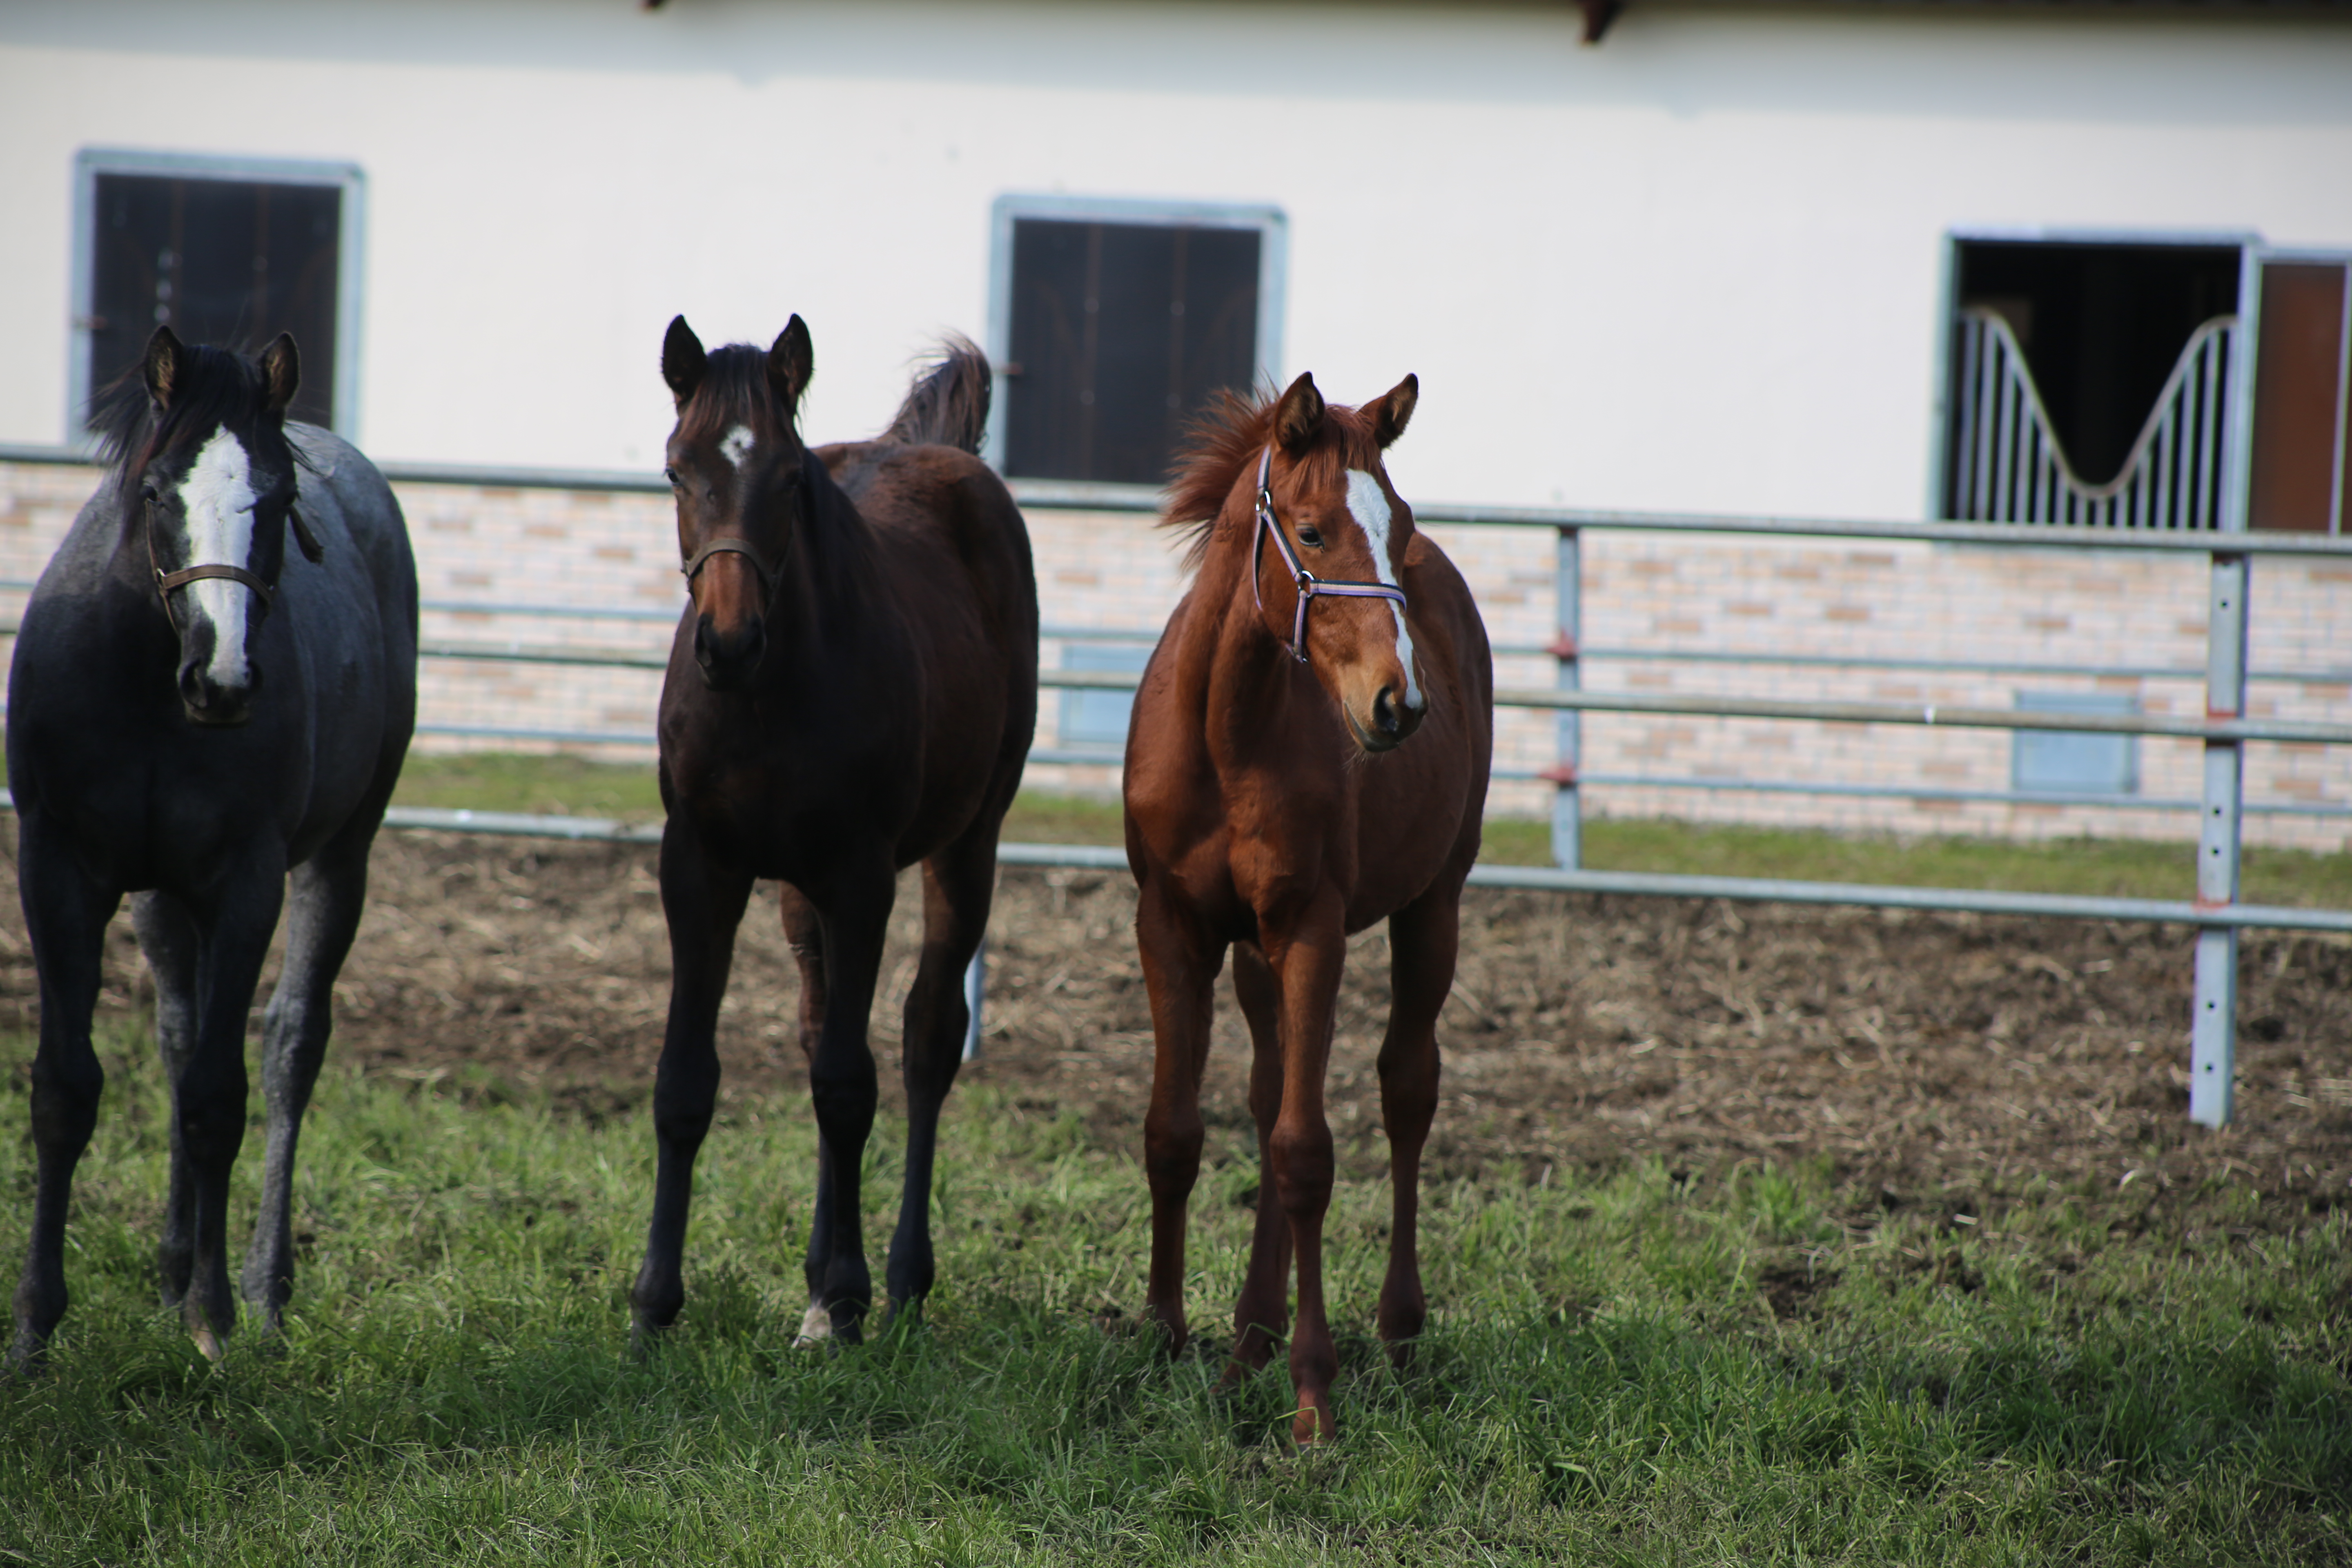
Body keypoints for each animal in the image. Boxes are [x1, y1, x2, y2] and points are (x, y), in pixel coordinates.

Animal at [7, 324, 419, 1363]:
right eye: (158, 492)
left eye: (277, 497)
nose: (223, 679)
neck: (149, 684)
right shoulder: (58, 869)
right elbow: (67, 1089)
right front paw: (32, 1328)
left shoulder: (246, 884)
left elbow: (216, 1099)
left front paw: (215, 1316)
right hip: (162, 896)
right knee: (179, 1031)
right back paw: (166, 1269)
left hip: (339, 858)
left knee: (290, 1047)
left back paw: (263, 1288)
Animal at [630, 315, 1035, 1354]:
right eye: (677, 469)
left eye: (787, 477)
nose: (728, 644)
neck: (767, 697)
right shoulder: (701, 866)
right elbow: (685, 1080)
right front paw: (654, 1301)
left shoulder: (861, 876)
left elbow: (852, 1085)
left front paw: (848, 1299)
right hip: (795, 887)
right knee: (821, 1029)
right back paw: (817, 1282)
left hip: (967, 840)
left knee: (927, 1038)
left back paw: (898, 1280)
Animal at [1119, 371, 1486, 1448]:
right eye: (1314, 532)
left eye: (1398, 527)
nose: (1398, 705)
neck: (1227, 732)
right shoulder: (1172, 927)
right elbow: (1177, 1131)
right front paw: (1162, 1334)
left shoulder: (1312, 929)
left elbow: (1304, 1152)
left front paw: (1313, 1393)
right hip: (1253, 957)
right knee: (1267, 1089)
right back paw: (1246, 1338)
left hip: (1432, 906)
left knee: (1405, 1090)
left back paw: (1394, 1329)